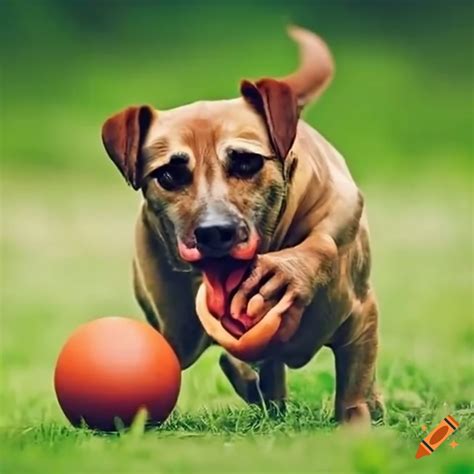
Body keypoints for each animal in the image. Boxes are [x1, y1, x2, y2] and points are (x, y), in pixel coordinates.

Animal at [102, 27, 384, 424]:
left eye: (247, 162)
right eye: (169, 174)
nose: (214, 232)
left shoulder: (359, 318)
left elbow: (354, 390)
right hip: (178, 330)